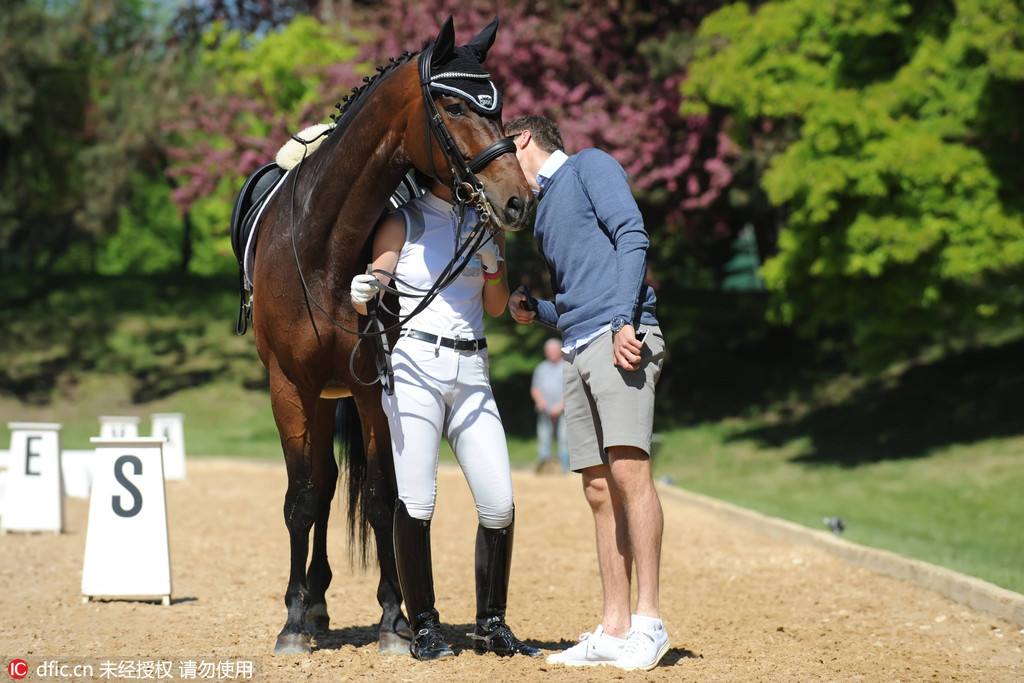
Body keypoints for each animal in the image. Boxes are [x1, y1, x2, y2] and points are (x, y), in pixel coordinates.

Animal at [250, 18, 532, 655]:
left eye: (499, 106)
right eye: (453, 105)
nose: (518, 200)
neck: (322, 248)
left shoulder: (370, 389)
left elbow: (383, 500)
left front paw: (392, 620)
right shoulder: (289, 387)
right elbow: (300, 500)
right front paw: (291, 623)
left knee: (336, 485)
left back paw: (327, 603)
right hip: (314, 397)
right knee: (318, 490)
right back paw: (310, 609)